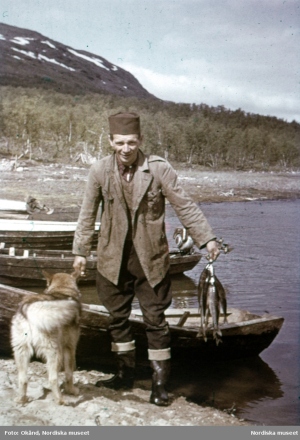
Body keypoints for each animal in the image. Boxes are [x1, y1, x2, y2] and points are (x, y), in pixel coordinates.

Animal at [10, 270, 82, 408]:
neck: (63, 289)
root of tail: (29, 308)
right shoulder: (70, 348)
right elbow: (69, 374)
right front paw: (71, 390)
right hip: (54, 353)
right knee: (53, 378)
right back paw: (60, 400)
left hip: (21, 351)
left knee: (23, 379)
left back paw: (21, 399)